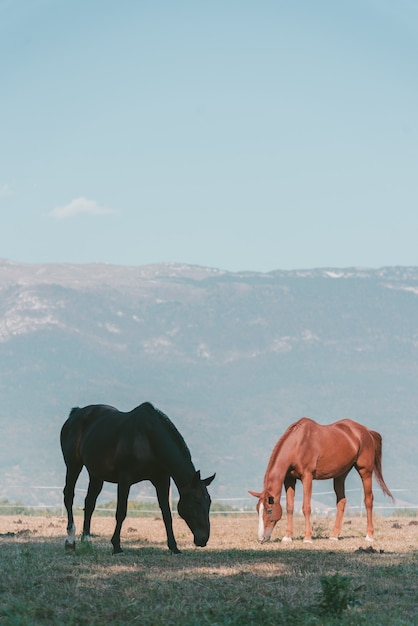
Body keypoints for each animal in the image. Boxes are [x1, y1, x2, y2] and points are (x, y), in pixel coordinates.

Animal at [60, 400, 216, 552]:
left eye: (208, 502)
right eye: (196, 501)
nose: (203, 539)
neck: (148, 439)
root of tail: (76, 413)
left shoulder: (162, 480)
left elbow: (167, 513)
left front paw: (174, 546)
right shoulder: (125, 479)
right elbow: (121, 512)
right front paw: (116, 546)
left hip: (96, 474)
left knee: (89, 502)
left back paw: (86, 539)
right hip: (73, 465)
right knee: (69, 496)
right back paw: (70, 540)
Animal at [250, 416, 394, 544]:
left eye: (269, 510)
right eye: (257, 510)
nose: (261, 538)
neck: (298, 444)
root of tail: (366, 431)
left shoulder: (307, 477)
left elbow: (306, 507)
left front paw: (307, 538)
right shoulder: (289, 479)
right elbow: (290, 507)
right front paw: (287, 537)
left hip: (365, 471)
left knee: (368, 500)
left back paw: (369, 536)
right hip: (340, 474)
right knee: (341, 502)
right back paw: (334, 536)